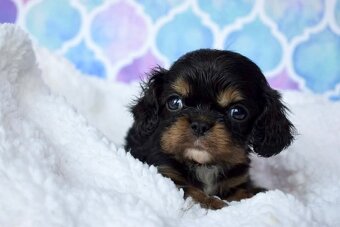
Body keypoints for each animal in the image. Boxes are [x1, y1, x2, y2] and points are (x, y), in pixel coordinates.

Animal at [125, 49, 294, 209]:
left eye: (237, 112)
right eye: (174, 102)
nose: (200, 125)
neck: (204, 166)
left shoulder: (236, 182)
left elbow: (244, 193)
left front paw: (260, 193)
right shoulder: (166, 174)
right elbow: (191, 190)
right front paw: (212, 202)